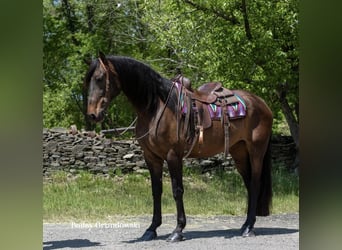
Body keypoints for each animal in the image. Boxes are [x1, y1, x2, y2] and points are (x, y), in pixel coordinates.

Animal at [85, 52, 272, 242]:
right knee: (249, 184)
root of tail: (261, 103)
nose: (92, 114)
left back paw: (249, 228)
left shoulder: (173, 155)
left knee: (255, 183)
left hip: (256, 151)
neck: (156, 108)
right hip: (239, 151)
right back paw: (246, 224)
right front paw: (151, 229)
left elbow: (177, 190)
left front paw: (178, 230)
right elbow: (156, 191)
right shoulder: (151, 157)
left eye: (100, 78)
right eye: (88, 80)